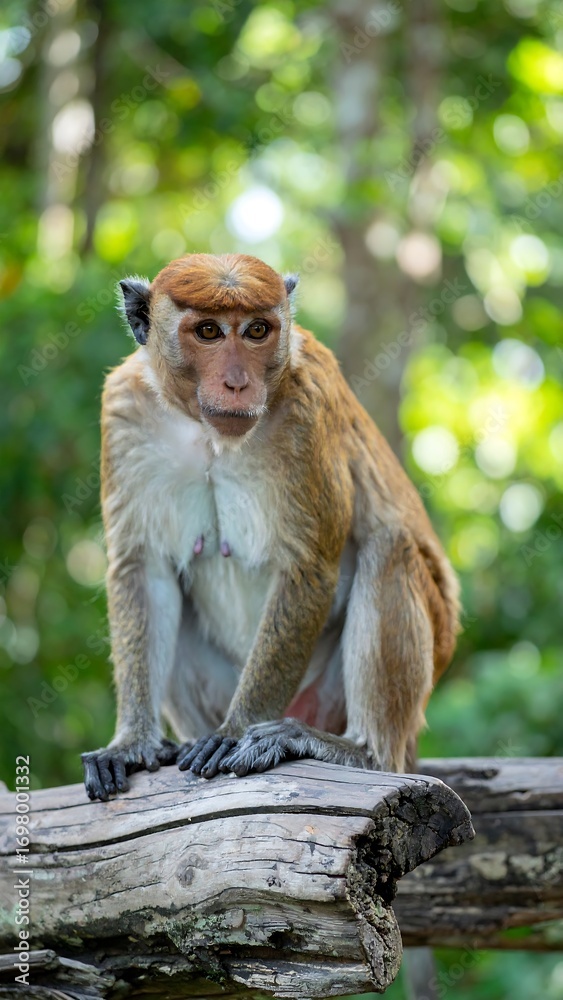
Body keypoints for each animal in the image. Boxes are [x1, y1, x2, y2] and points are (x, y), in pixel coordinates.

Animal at [82, 252, 460, 801]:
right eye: (209, 331)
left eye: (257, 330)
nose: (238, 382)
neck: (209, 433)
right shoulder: (125, 414)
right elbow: (144, 571)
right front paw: (131, 743)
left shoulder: (308, 408)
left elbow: (308, 567)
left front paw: (235, 730)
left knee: (390, 546)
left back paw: (357, 750)